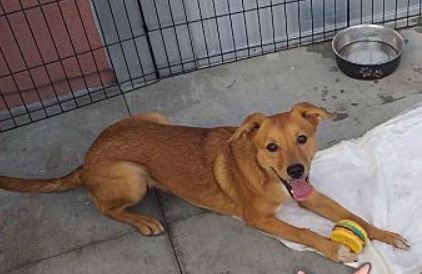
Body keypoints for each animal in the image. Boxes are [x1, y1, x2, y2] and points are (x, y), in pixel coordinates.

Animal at [0, 102, 408, 262]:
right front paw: (335, 248)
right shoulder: (260, 219)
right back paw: (144, 221)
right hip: (132, 176)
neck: (264, 173)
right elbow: (305, 232)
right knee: (105, 207)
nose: (296, 171)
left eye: (303, 138)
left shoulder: (308, 195)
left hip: (157, 118)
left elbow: (350, 213)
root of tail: (87, 157)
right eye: (271, 147)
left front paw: (385, 235)